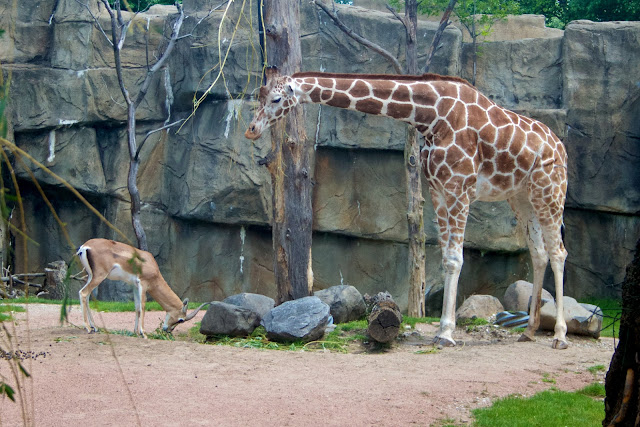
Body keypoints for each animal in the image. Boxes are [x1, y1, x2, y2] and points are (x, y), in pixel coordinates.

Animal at [245, 71, 568, 352]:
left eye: (275, 99)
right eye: (258, 95)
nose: (251, 130)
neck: (430, 116)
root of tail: (561, 147)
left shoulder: (459, 188)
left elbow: (455, 259)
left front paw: (446, 334)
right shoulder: (438, 190)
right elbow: (446, 259)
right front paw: (442, 330)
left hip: (551, 190)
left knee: (558, 252)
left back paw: (560, 336)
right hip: (522, 198)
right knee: (539, 252)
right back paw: (529, 331)